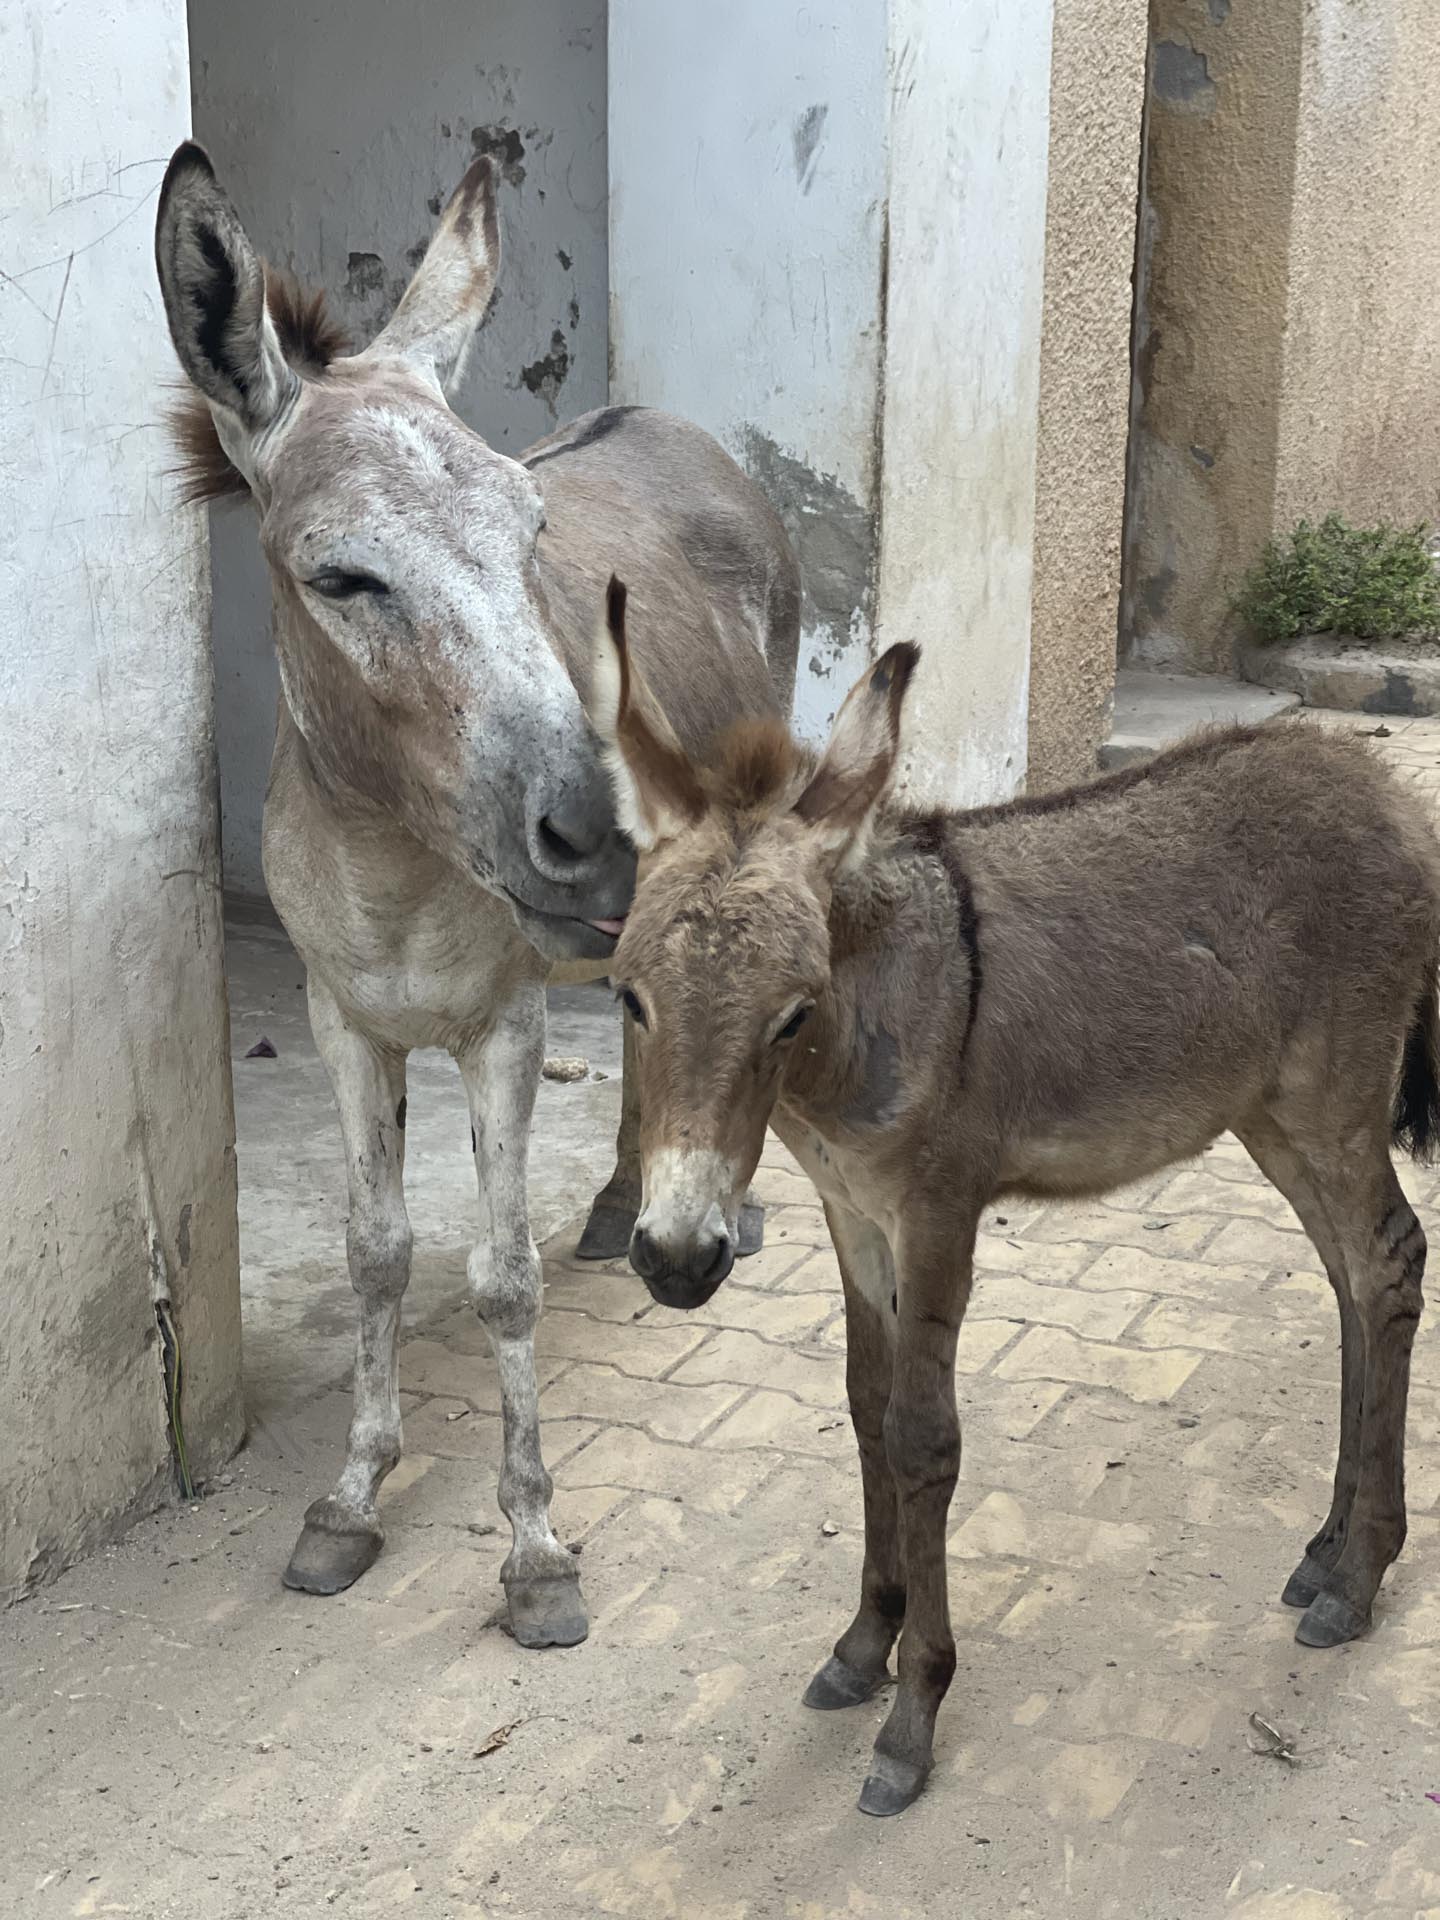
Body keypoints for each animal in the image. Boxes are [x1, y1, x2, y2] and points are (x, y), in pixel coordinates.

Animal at [154, 146, 798, 1649]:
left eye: (531, 534)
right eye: (340, 576)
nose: (606, 836)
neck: (391, 860)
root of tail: (676, 426)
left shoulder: (502, 1025)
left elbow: (499, 1277)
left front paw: (536, 1552)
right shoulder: (342, 1019)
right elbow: (376, 1253)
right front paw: (348, 1502)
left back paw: (720, 1211)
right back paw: (623, 1205)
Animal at [589, 582, 1439, 1814]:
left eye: (791, 1012)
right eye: (630, 999)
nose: (675, 1259)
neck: (865, 1024)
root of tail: (1375, 783)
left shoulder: (939, 1210)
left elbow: (923, 1438)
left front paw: (913, 1713)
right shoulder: (852, 1213)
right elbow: (863, 1405)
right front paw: (862, 1646)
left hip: (1335, 1094)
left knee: (1386, 1264)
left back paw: (1360, 1577)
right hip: (1270, 1113)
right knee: (1346, 1280)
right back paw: (1325, 1551)